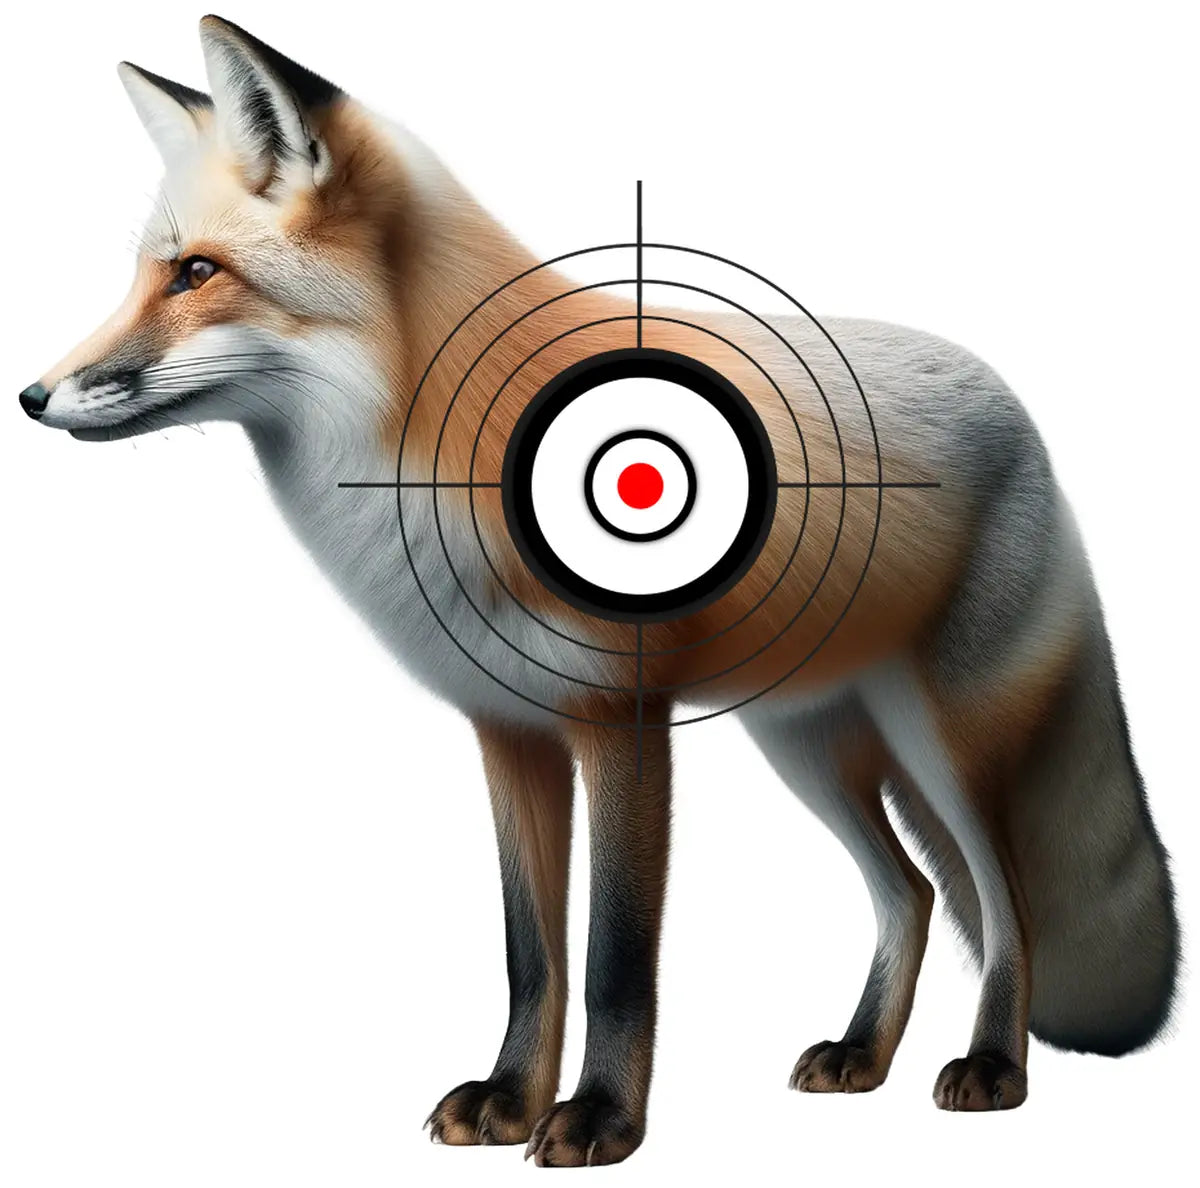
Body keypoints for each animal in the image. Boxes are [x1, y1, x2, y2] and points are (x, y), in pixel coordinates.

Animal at [18, 15, 1178, 1167]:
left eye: (195, 273)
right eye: (147, 274)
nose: (32, 395)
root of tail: (1005, 392)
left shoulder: (622, 721)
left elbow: (616, 957)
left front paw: (601, 1120)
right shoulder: (507, 730)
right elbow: (531, 955)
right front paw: (507, 1099)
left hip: (944, 742)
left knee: (1003, 897)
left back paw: (993, 1068)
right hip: (804, 744)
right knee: (914, 890)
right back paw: (862, 1054)